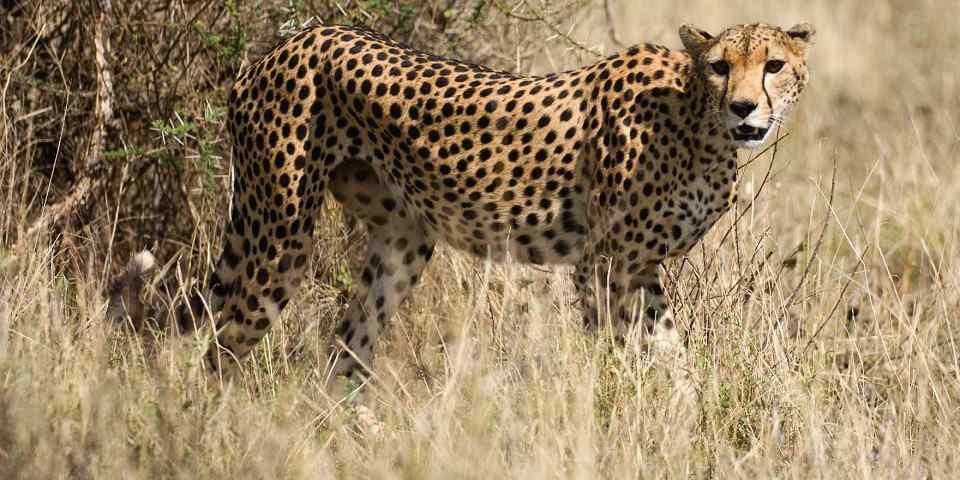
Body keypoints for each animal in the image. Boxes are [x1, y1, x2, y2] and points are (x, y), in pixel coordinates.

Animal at [111, 21, 815, 392]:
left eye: (774, 65)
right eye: (721, 66)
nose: (745, 107)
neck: (700, 124)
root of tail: (289, 42)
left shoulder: (639, 269)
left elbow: (671, 355)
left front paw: (684, 413)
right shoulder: (604, 262)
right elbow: (613, 349)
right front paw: (616, 410)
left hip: (402, 241)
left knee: (347, 345)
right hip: (277, 235)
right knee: (222, 350)